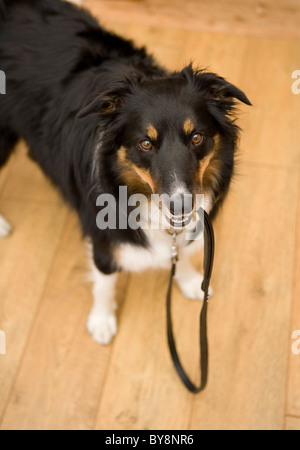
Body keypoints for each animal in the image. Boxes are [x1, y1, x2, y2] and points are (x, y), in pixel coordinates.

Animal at [0, 0, 251, 344]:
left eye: (197, 137)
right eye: (145, 143)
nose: (181, 206)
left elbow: (183, 253)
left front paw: (189, 282)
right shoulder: (104, 239)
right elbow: (105, 281)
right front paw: (102, 320)